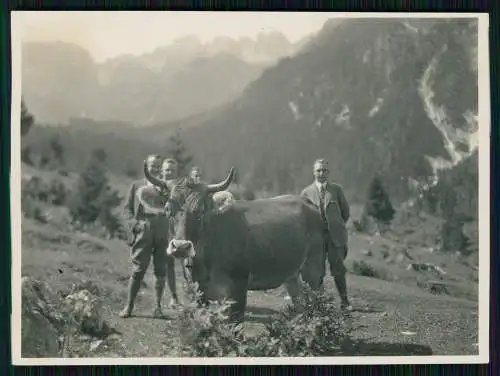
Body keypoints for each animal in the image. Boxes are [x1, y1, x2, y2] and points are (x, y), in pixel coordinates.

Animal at [140, 160, 324, 322]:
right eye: (167, 210)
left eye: (200, 212)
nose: (180, 247)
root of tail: (307, 202)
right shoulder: (199, 294)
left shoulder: (237, 289)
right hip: (292, 276)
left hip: (313, 269)